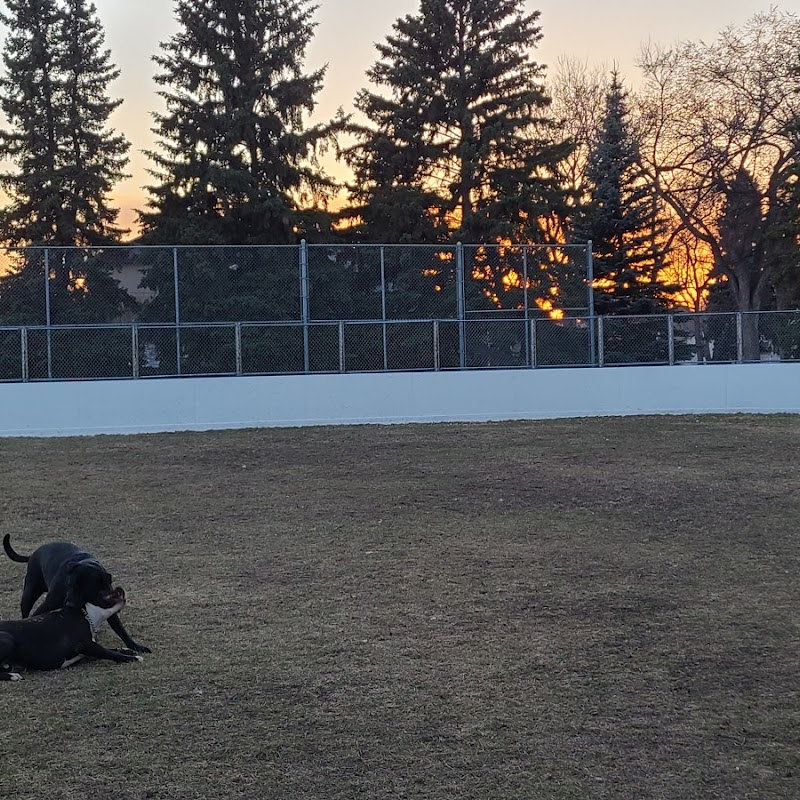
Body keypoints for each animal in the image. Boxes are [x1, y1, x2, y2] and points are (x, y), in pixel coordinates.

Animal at [0, 580, 142, 680]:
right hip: (8, 640)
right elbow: (108, 652)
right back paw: (12, 676)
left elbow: (111, 649)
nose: (118, 587)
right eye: (102, 590)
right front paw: (133, 658)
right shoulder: (84, 645)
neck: (87, 614)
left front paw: (128, 650)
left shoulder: (88, 650)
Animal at [2, 536, 150, 652]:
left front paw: (136, 646)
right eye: (69, 585)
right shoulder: (46, 605)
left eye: (83, 590)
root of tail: (34, 553)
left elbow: (120, 629)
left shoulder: (108, 604)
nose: (68, 602)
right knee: (25, 611)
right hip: (29, 593)